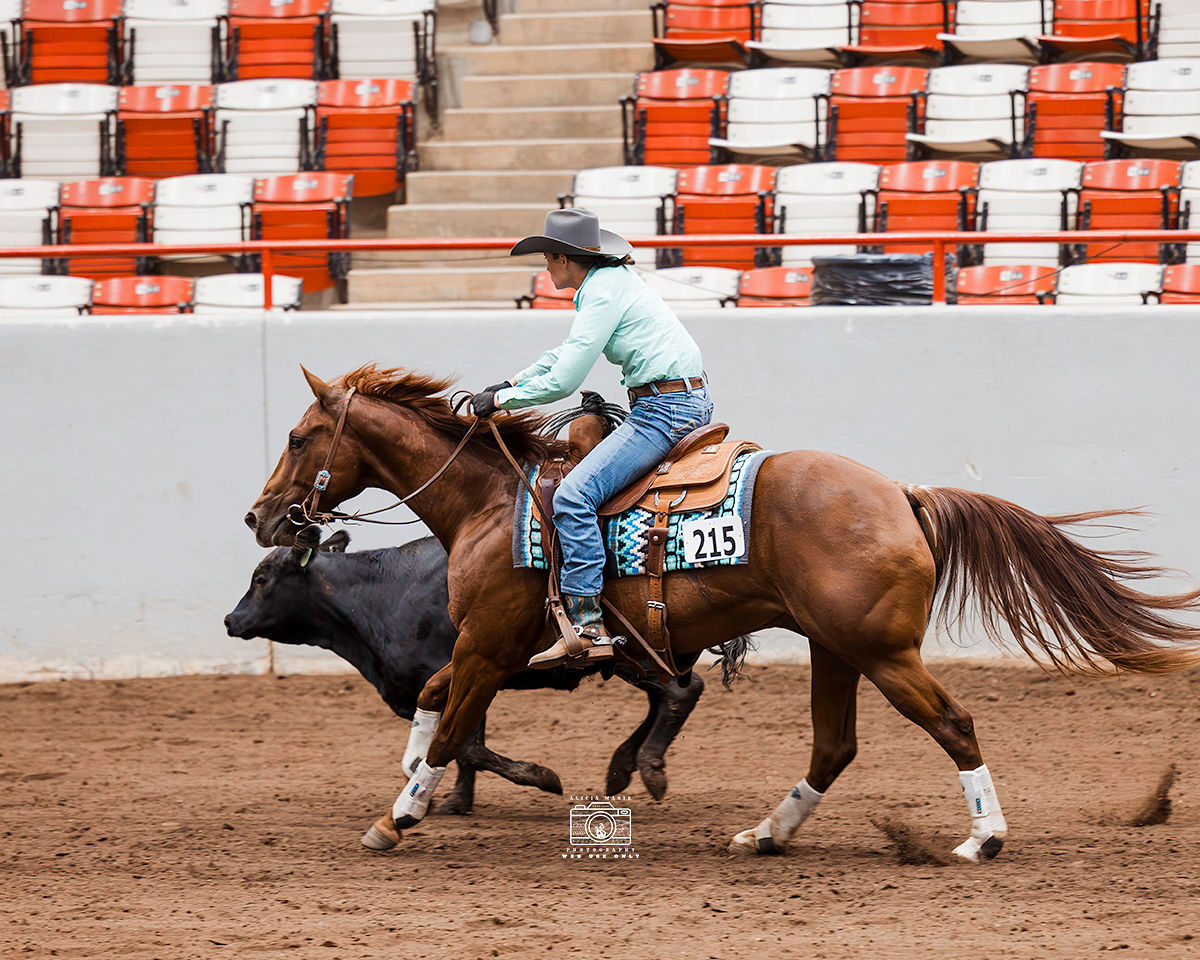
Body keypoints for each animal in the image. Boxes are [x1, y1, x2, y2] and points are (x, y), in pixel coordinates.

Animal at [225, 532, 711, 816]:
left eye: (262, 578)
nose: (231, 619)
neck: (382, 595)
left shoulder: (467, 670)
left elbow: (467, 746)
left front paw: (541, 777)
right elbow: (461, 743)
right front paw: (458, 799)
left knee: (681, 692)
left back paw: (648, 768)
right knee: (666, 696)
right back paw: (623, 766)